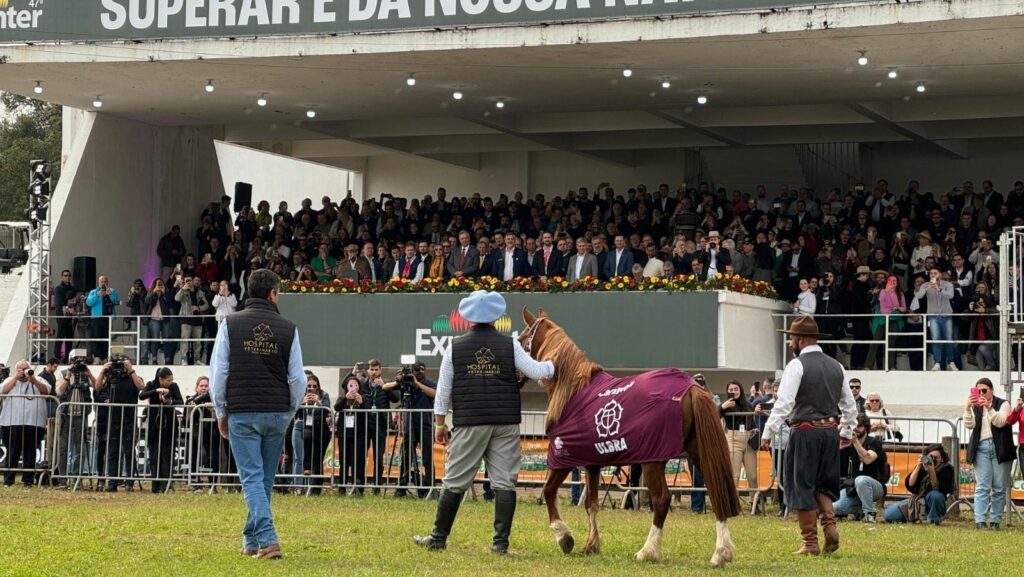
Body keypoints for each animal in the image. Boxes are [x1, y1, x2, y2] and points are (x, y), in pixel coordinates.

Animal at [520, 309, 737, 565]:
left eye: (522, 339)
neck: (572, 390)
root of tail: (691, 387)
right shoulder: (592, 463)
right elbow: (591, 503)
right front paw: (591, 545)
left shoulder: (563, 457)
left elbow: (548, 491)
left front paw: (564, 537)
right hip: (699, 452)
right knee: (716, 492)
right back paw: (721, 553)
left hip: (653, 461)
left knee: (662, 500)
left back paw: (648, 550)